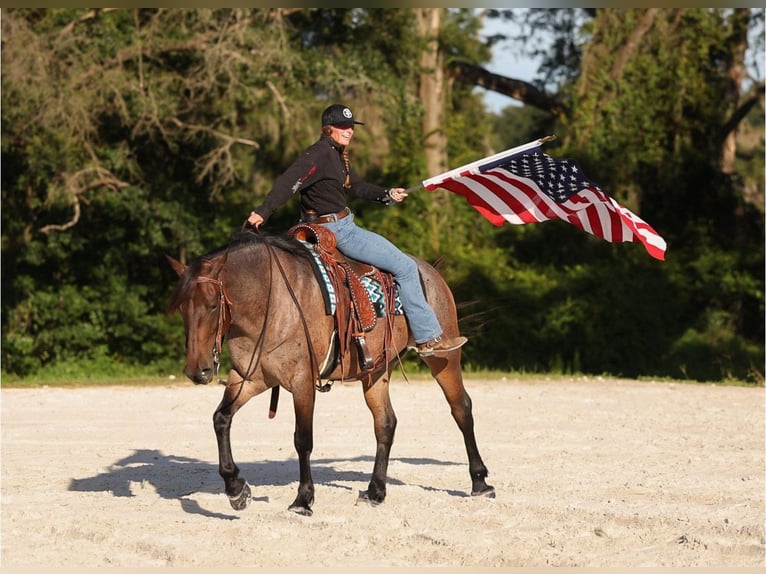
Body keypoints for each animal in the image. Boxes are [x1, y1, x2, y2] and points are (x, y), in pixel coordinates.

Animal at [167, 229, 494, 515]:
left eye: (212, 305)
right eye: (181, 308)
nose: (198, 371)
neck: (271, 301)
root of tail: (429, 271)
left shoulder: (301, 382)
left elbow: (303, 439)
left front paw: (303, 499)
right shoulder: (250, 378)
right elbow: (221, 419)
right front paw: (236, 489)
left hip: (444, 358)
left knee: (461, 408)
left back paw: (480, 482)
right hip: (376, 372)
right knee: (385, 423)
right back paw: (375, 491)